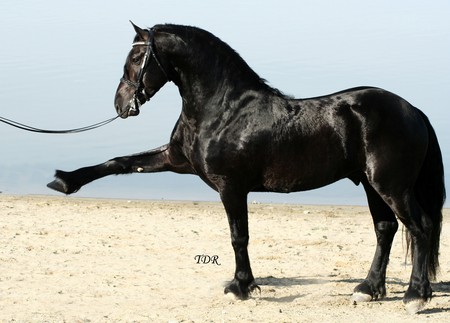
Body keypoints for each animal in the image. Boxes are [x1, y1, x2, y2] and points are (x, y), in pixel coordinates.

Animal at [47, 22, 444, 314]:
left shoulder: (231, 186)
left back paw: (415, 296)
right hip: (372, 184)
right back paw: (368, 289)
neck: (224, 108)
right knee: (386, 229)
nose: (120, 104)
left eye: (135, 58)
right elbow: (120, 162)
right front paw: (65, 181)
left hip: (389, 185)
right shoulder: (177, 160)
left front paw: (241, 286)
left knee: (420, 227)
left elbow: (239, 236)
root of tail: (413, 110)